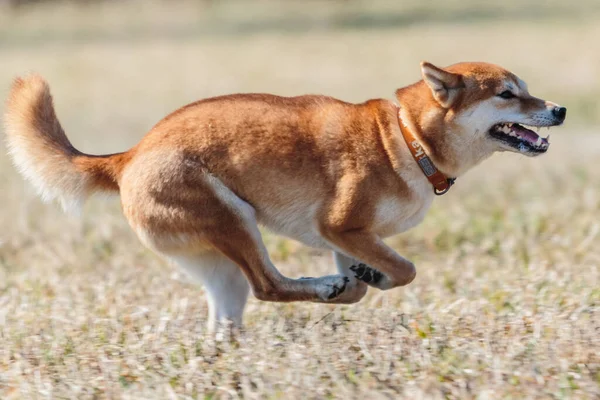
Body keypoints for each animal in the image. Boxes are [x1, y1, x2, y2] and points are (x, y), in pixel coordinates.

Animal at [4, 61, 568, 332]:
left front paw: (361, 279)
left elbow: (368, 275)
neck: (407, 140)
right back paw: (321, 288)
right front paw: (365, 280)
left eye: (527, 89)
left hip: (220, 267)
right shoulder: (339, 225)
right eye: (507, 94)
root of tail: (128, 156)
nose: (560, 109)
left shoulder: (351, 237)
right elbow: (405, 270)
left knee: (234, 313)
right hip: (234, 218)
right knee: (269, 286)